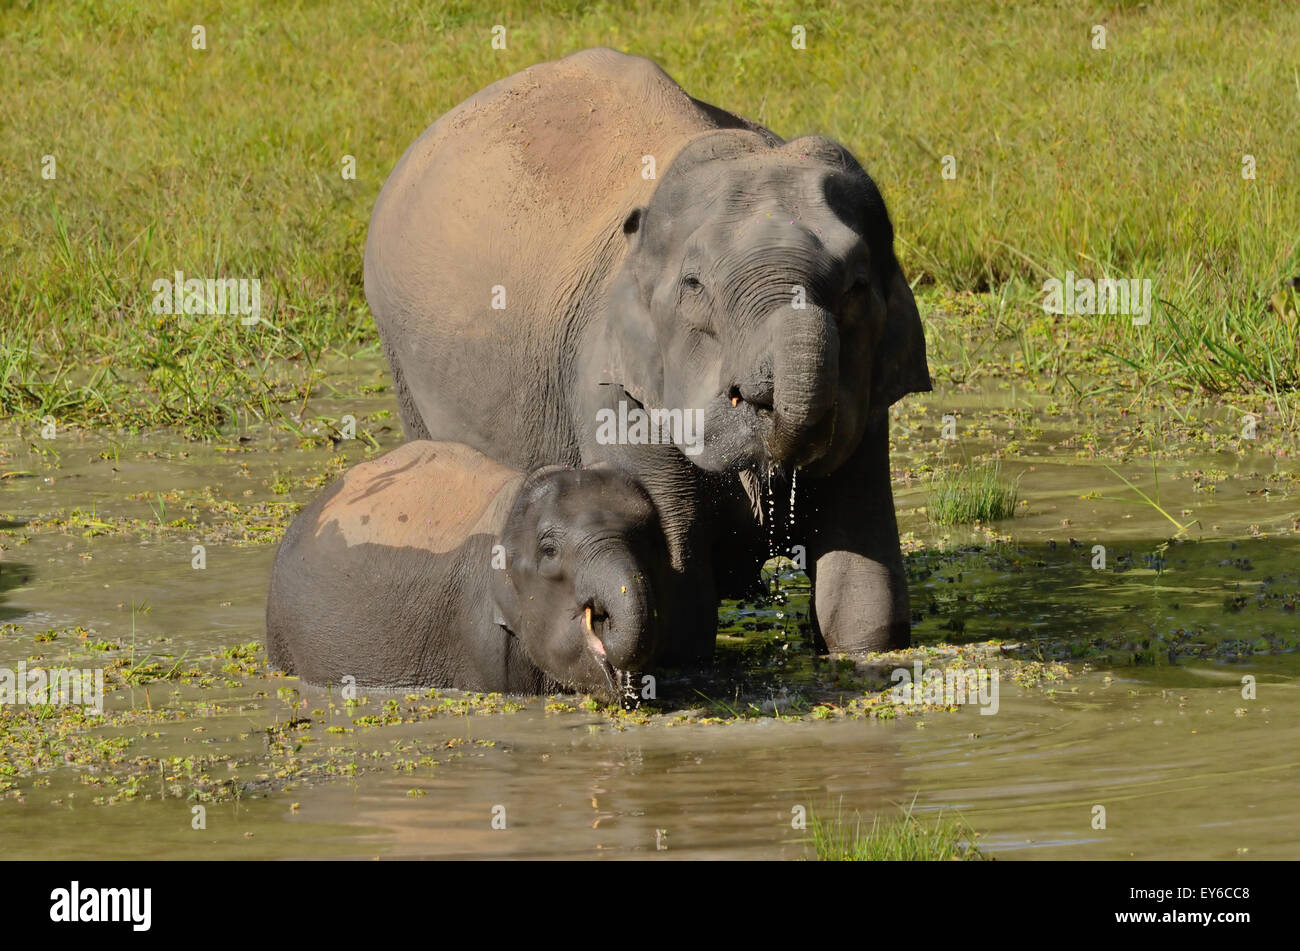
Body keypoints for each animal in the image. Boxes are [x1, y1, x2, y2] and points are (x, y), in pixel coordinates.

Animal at [366, 48, 930, 657]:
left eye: (857, 287)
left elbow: (864, 595)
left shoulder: (868, 406)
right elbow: (681, 609)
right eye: (694, 285)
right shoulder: (610, 388)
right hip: (399, 354)